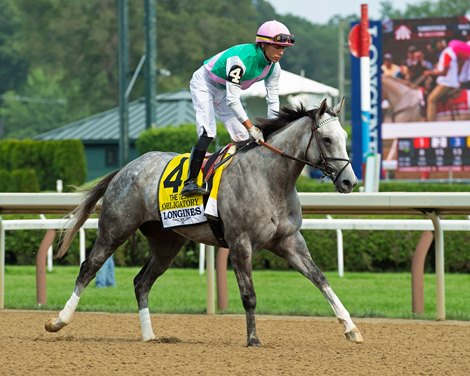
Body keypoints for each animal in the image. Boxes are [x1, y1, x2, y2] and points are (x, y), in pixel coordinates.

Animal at [45, 98, 364, 346]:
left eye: (345, 137)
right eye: (327, 139)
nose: (349, 181)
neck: (269, 179)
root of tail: (126, 167)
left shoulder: (289, 242)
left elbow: (320, 279)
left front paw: (351, 328)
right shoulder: (240, 243)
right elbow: (248, 294)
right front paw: (253, 339)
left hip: (167, 243)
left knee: (141, 282)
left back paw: (149, 336)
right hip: (115, 228)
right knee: (89, 268)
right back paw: (58, 321)